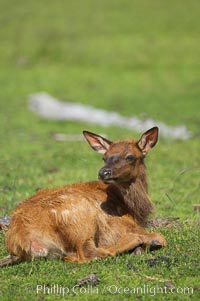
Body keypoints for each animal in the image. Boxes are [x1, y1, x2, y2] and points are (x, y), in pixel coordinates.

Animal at [0, 126, 166, 264]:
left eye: (130, 156)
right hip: (82, 219)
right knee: (88, 253)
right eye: (104, 157)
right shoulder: (120, 224)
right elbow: (161, 237)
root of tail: (23, 238)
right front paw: (149, 241)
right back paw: (142, 241)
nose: (103, 172)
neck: (133, 210)